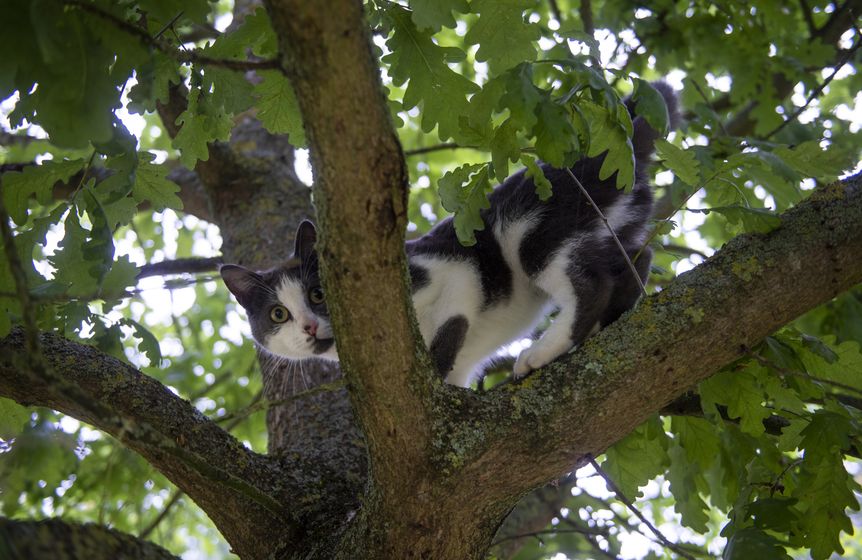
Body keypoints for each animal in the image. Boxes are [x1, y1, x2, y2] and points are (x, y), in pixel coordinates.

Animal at [223, 83, 680, 388]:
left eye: (318, 293)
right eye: (277, 314)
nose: (308, 327)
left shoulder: (445, 268)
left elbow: (455, 315)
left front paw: (436, 362)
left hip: (533, 227)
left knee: (589, 281)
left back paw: (543, 351)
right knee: (636, 257)